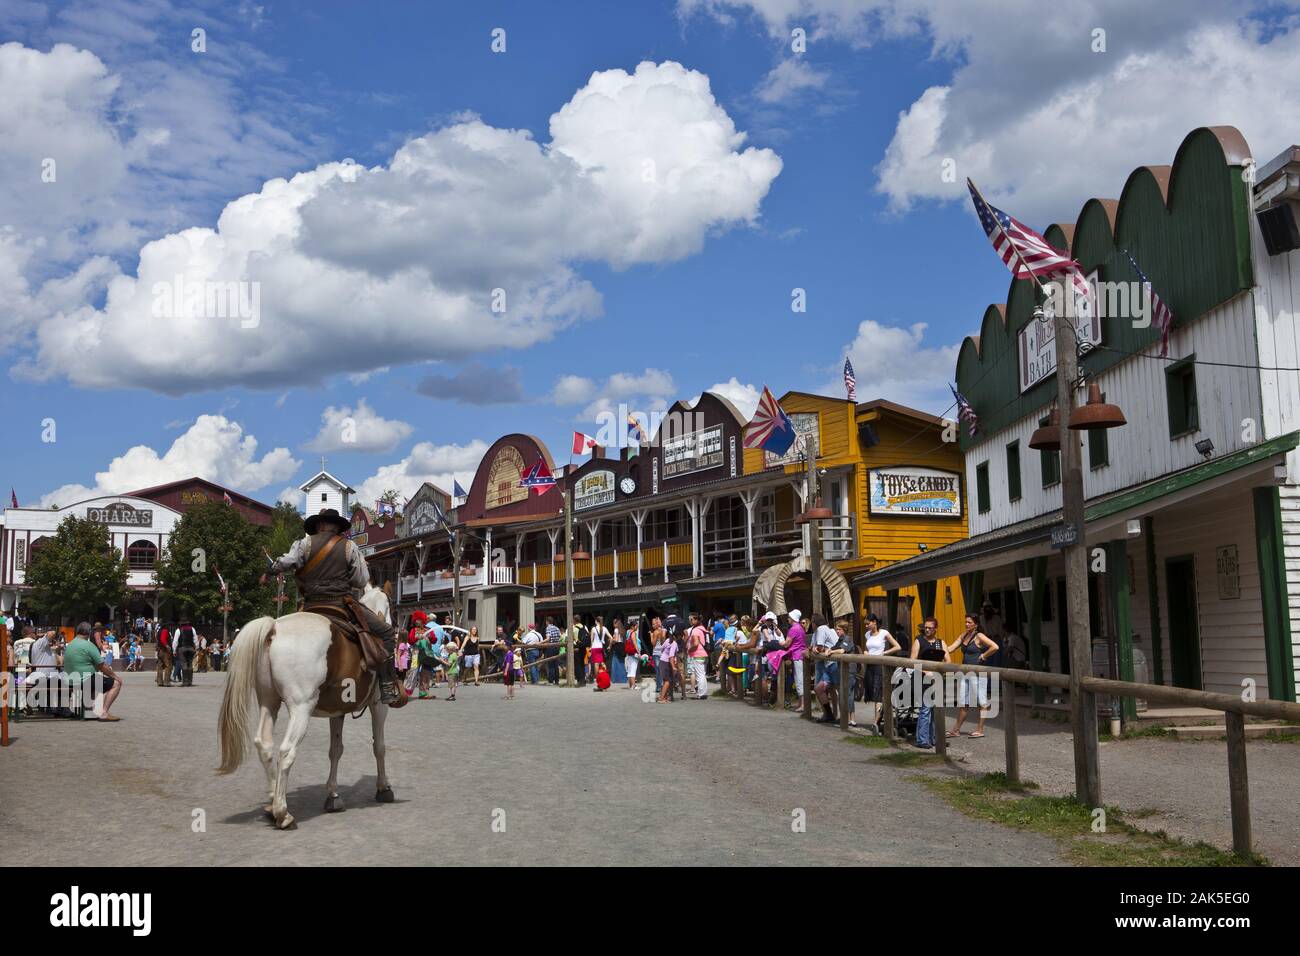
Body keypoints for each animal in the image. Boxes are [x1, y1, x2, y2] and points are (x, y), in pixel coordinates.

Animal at [218, 582, 395, 832]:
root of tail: (274, 628)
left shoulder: (336, 711)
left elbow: (335, 750)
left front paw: (333, 795)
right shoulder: (378, 705)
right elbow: (379, 747)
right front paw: (383, 788)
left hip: (269, 702)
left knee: (264, 744)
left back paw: (272, 803)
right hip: (301, 709)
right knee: (286, 751)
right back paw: (283, 813)